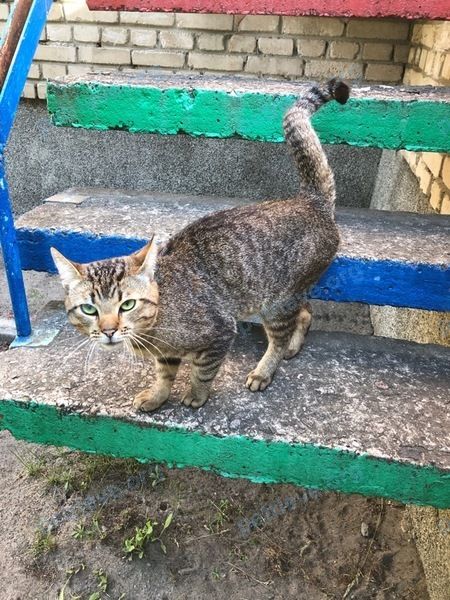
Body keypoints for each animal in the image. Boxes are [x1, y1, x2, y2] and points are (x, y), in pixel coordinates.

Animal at [51, 76, 348, 412]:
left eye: (127, 304)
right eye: (89, 309)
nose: (109, 330)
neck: (154, 324)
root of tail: (311, 201)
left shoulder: (220, 332)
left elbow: (202, 371)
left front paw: (196, 395)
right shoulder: (166, 354)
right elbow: (164, 374)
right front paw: (157, 395)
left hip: (277, 301)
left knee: (281, 335)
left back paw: (265, 369)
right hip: (281, 294)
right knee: (306, 311)